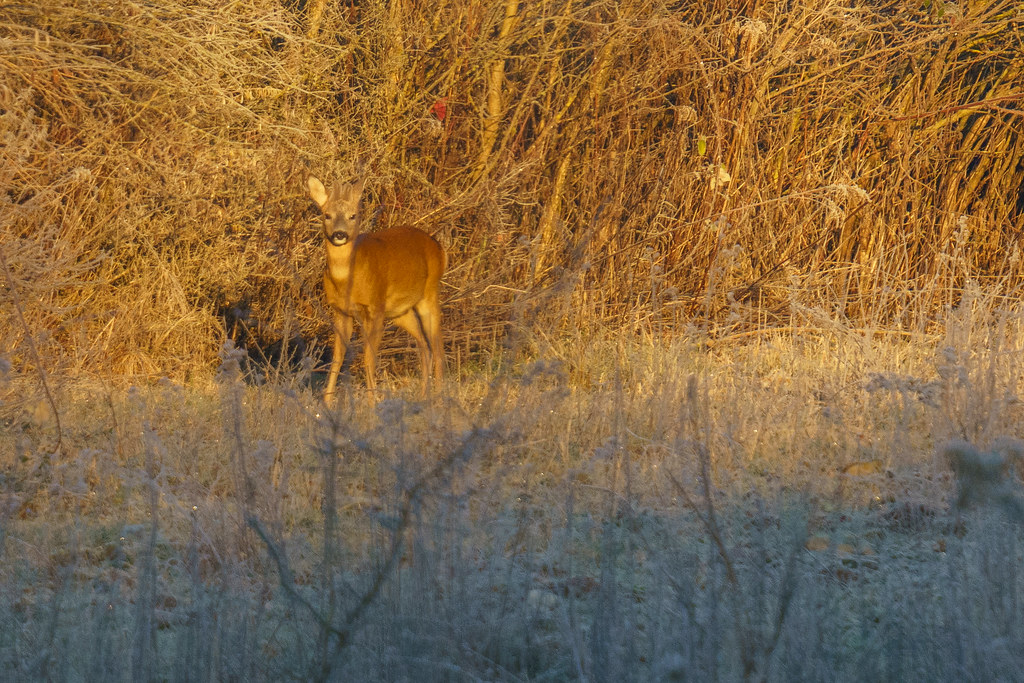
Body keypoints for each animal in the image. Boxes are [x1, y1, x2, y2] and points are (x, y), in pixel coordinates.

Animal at [307, 174, 444, 403]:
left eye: (353, 216)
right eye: (327, 215)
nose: (339, 234)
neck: (348, 280)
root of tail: (439, 247)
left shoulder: (375, 307)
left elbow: (368, 357)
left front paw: (372, 404)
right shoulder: (341, 311)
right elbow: (337, 357)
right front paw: (326, 402)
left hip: (429, 295)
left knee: (437, 346)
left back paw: (440, 398)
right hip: (400, 311)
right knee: (424, 345)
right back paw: (423, 396)